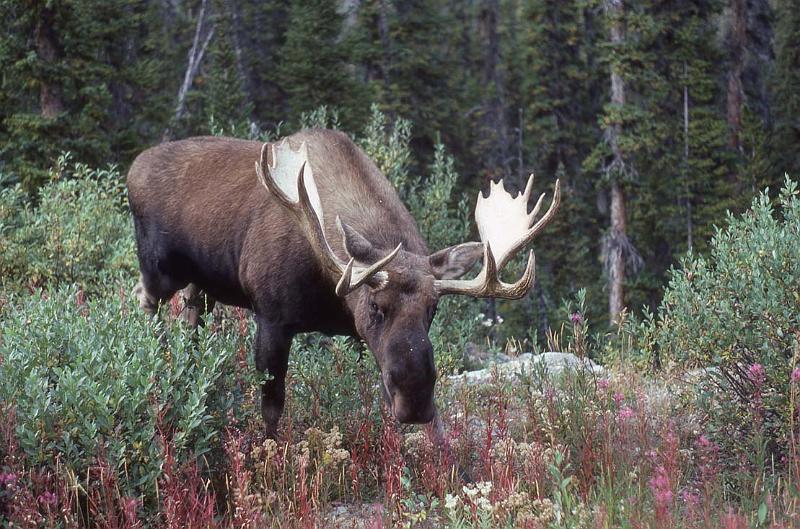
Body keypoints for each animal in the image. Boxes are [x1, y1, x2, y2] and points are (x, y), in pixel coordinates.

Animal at [126, 129, 560, 438]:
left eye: (433, 310)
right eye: (375, 306)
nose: (416, 400)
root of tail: (133, 167)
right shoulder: (272, 317)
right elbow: (271, 406)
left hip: (199, 284)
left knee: (190, 319)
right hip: (158, 269)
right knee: (142, 304)